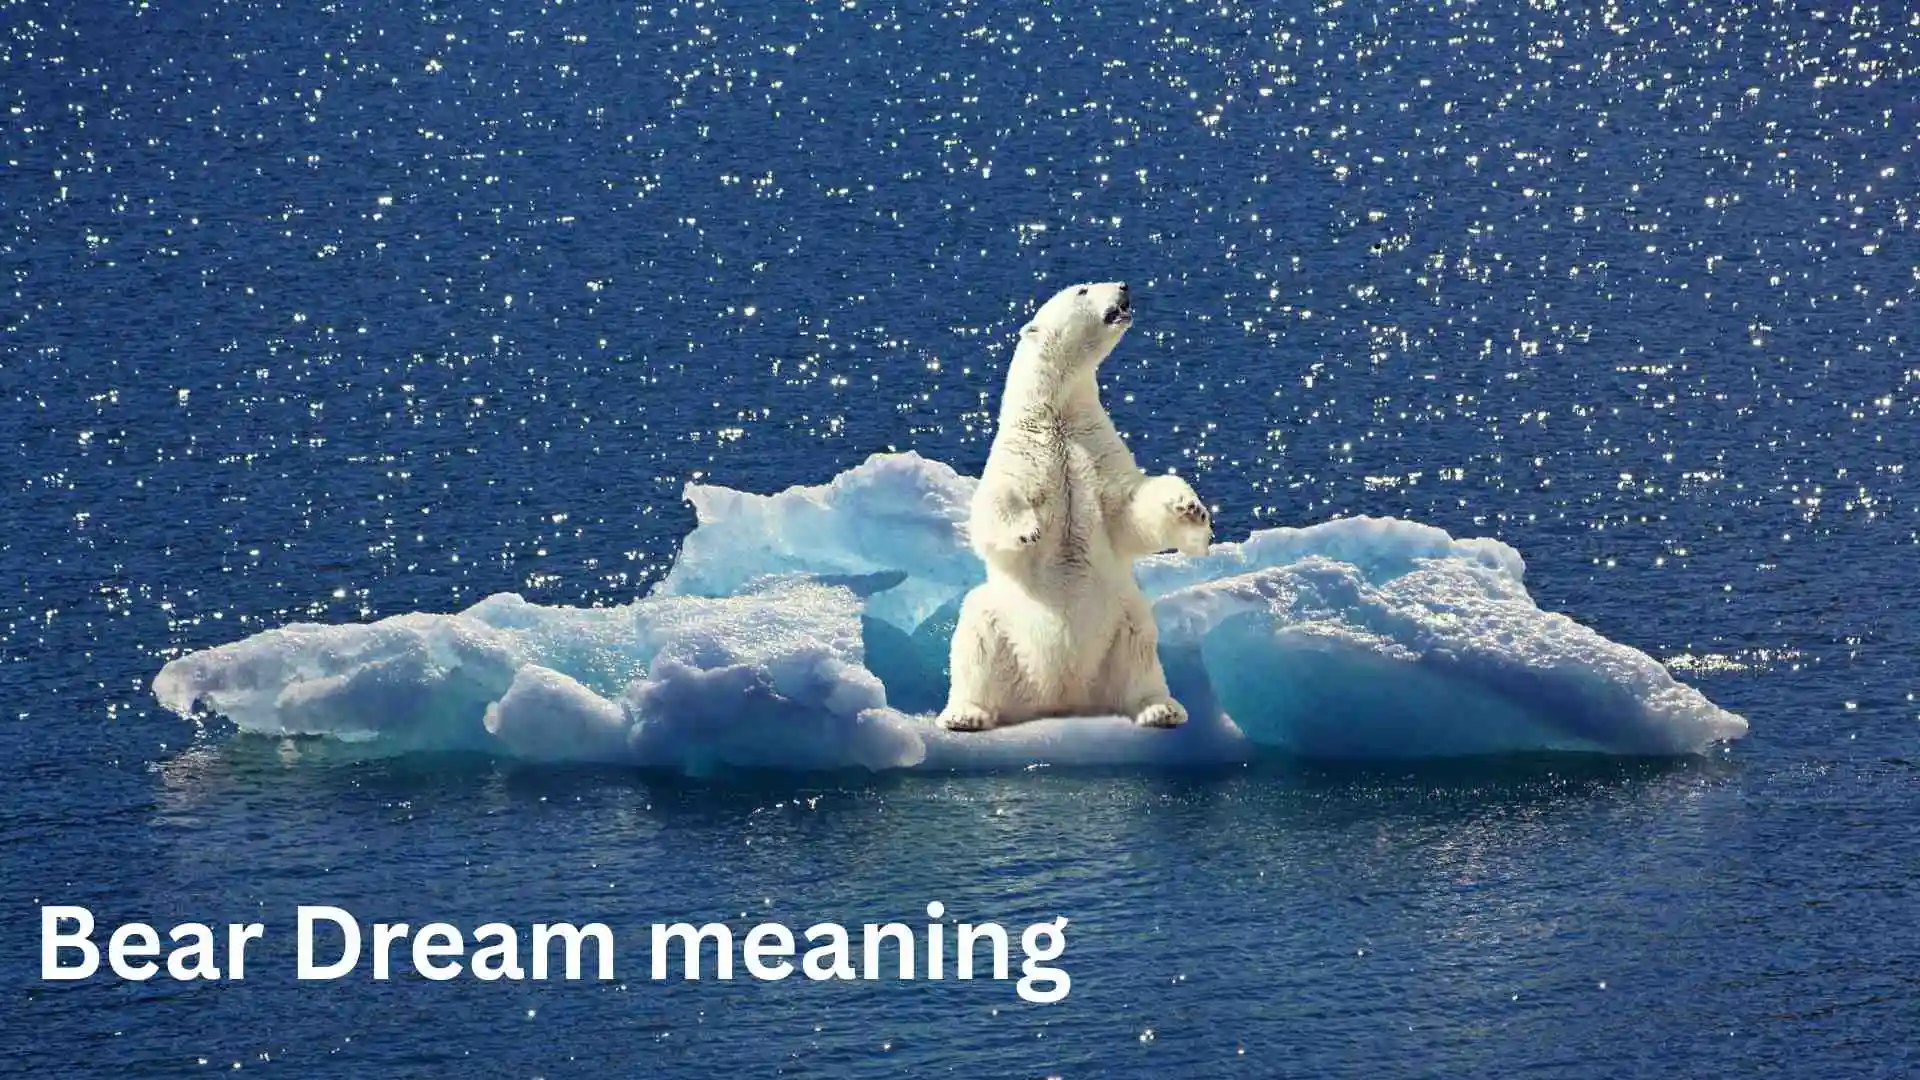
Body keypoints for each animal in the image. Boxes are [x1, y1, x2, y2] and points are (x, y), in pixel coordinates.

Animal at [939, 281, 1213, 733]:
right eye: (1083, 289)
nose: (1123, 285)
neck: (1058, 415)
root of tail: (1060, 697)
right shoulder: (1023, 454)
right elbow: (995, 503)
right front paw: (1027, 530)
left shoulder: (1096, 450)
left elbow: (1128, 508)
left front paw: (1190, 509)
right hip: (1001, 622)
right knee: (975, 635)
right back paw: (966, 714)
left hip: (1121, 620)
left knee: (1141, 648)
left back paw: (1161, 709)